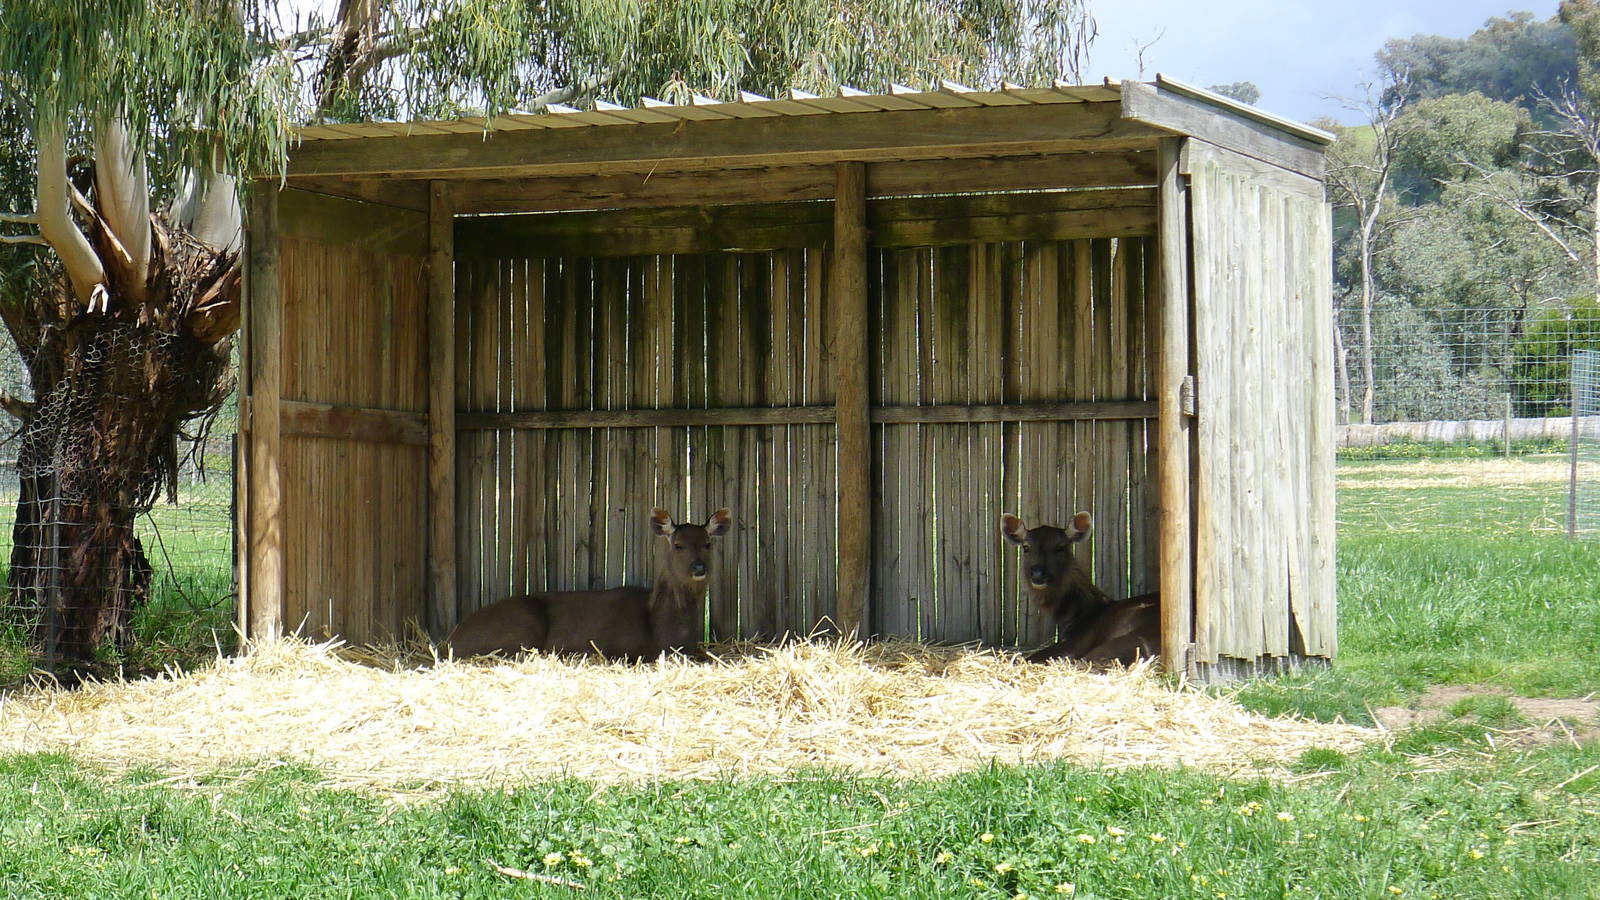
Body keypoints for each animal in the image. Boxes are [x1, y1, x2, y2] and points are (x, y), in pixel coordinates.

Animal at [445, 507, 732, 661]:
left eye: (708, 543)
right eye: (678, 545)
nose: (699, 568)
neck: (662, 632)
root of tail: (450, 640)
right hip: (523, 628)